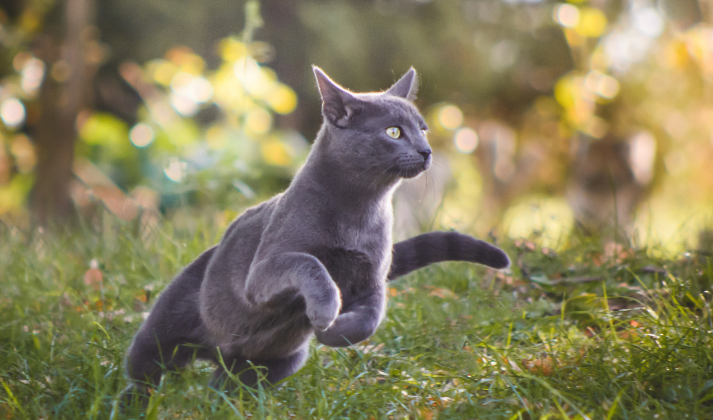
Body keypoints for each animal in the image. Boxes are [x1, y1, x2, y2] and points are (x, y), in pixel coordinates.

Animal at [121, 66, 512, 404]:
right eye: (394, 132)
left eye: (423, 129)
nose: (426, 151)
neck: (358, 211)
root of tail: (217, 352)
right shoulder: (263, 272)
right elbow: (307, 261)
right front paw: (325, 310)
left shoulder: (372, 280)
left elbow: (371, 318)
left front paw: (332, 331)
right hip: (164, 328)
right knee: (145, 368)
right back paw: (134, 402)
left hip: (275, 363)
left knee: (227, 387)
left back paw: (223, 404)